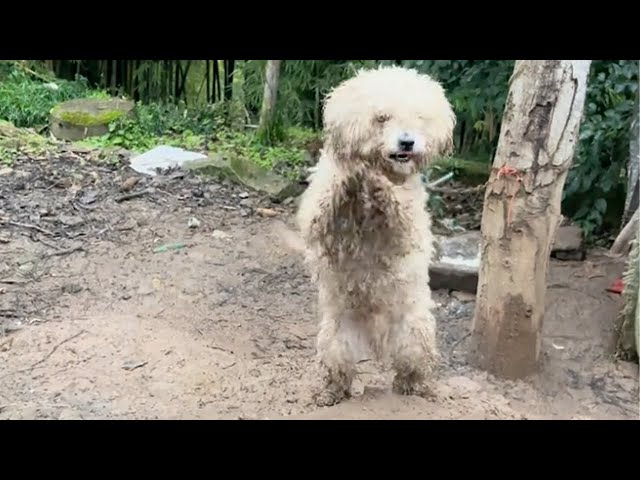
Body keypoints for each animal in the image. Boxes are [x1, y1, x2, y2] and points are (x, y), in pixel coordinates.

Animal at [296, 65, 456, 406]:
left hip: (413, 333)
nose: (407, 142)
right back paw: (330, 392)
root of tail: (375, 334)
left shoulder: (404, 225)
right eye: (382, 117)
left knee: (411, 369)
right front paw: (353, 177)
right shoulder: (318, 219)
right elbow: (329, 198)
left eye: (418, 118)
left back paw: (416, 387)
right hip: (336, 338)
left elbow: (394, 203)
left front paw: (381, 185)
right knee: (339, 370)